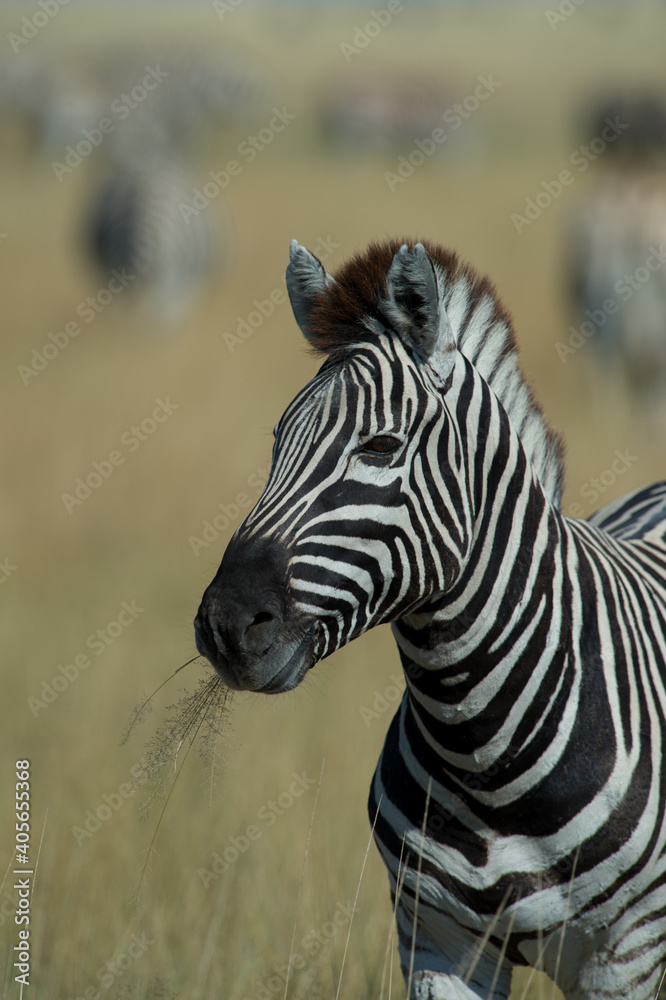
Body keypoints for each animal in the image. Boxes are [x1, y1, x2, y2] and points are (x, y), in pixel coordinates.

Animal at [194, 239, 666, 999]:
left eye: (381, 447)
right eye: (276, 442)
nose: (226, 625)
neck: (485, 750)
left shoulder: (623, 958)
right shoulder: (438, 942)